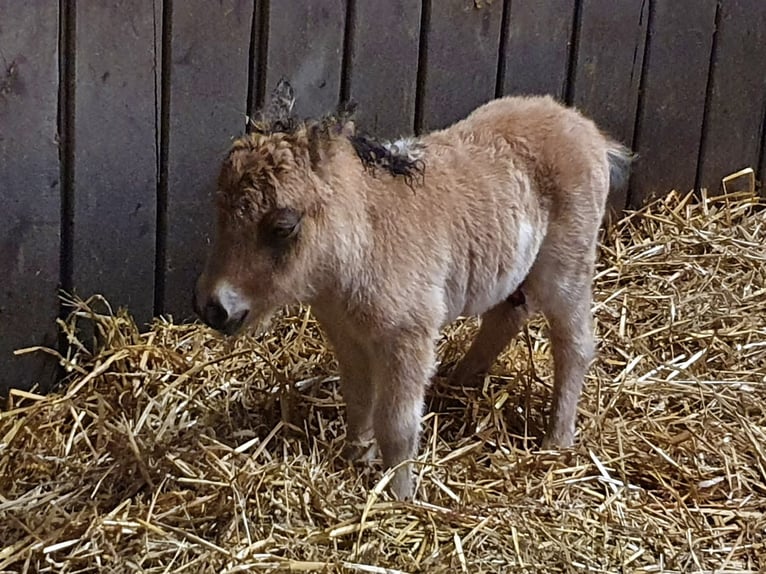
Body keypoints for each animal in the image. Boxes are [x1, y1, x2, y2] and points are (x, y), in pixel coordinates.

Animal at [195, 81, 632, 504]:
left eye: (283, 226)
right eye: (219, 210)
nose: (214, 308)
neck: (363, 240)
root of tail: (583, 127)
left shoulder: (406, 338)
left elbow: (397, 424)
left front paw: (400, 496)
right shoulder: (347, 335)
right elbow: (359, 399)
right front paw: (354, 458)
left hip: (566, 270)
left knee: (574, 346)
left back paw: (557, 440)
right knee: (507, 315)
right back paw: (456, 381)